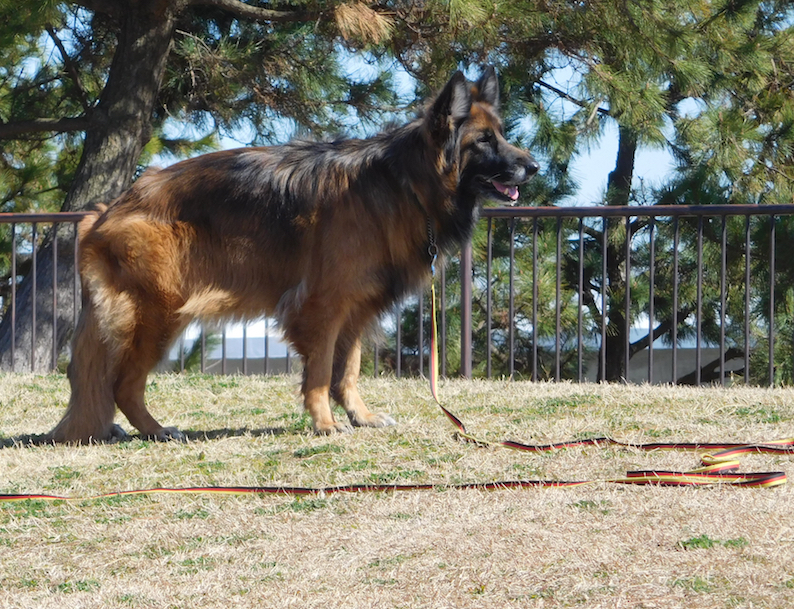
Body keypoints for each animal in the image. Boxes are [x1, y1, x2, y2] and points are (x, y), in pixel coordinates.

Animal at [51, 67, 540, 442]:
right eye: (484, 141)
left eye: (502, 135)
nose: (534, 167)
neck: (405, 183)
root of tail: (107, 210)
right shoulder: (323, 307)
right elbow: (321, 371)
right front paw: (324, 424)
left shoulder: (355, 308)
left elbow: (348, 370)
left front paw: (360, 417)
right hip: (158, 315)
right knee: (122, 385)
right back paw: (155, 431)